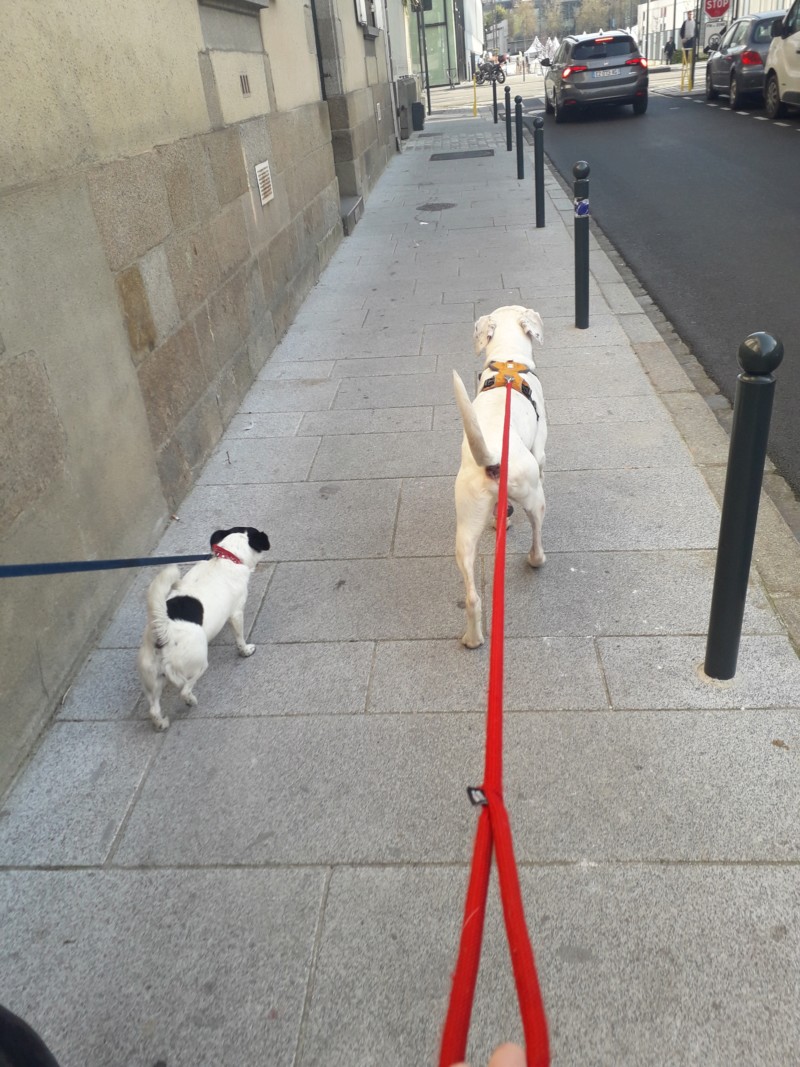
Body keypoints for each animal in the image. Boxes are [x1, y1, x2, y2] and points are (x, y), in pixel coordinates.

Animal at [138, 527, 273, 729]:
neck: (226, 558)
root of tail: (163, 633)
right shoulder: (236, 613)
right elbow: (240, 638)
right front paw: (245, 650)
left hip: (152, 679)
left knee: (153, 709)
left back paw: (162, 724)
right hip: (198, 664)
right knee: (185, 690)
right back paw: (191, 700)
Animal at [454, 305, 550, 644]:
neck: (508, 360)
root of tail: (493, 455)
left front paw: (502, 519)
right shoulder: (540, 449)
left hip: (465, 527)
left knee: (472, 596)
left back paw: (473, 638)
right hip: (534, 498)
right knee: (536, 535)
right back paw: (536, 559)